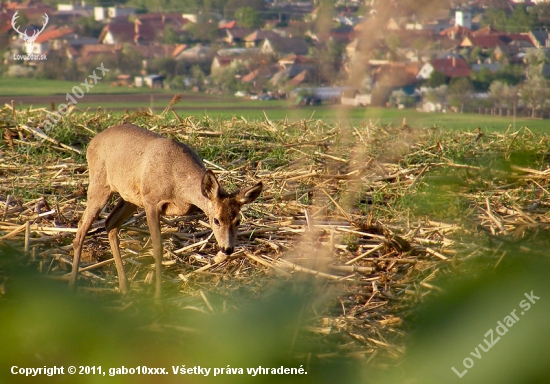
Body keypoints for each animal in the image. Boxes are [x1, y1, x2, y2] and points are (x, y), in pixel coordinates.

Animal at [70, 124, 264, 298]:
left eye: (238, 220)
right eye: (215, 220)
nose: (228, 248)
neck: (178, 184)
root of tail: (93, 141)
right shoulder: (151, 201)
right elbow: (158, 248)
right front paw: (158, 296)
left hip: (129, 197)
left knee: (110, 223)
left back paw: (124, 287)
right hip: (100, 184)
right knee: (82, 227)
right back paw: (73, 284)